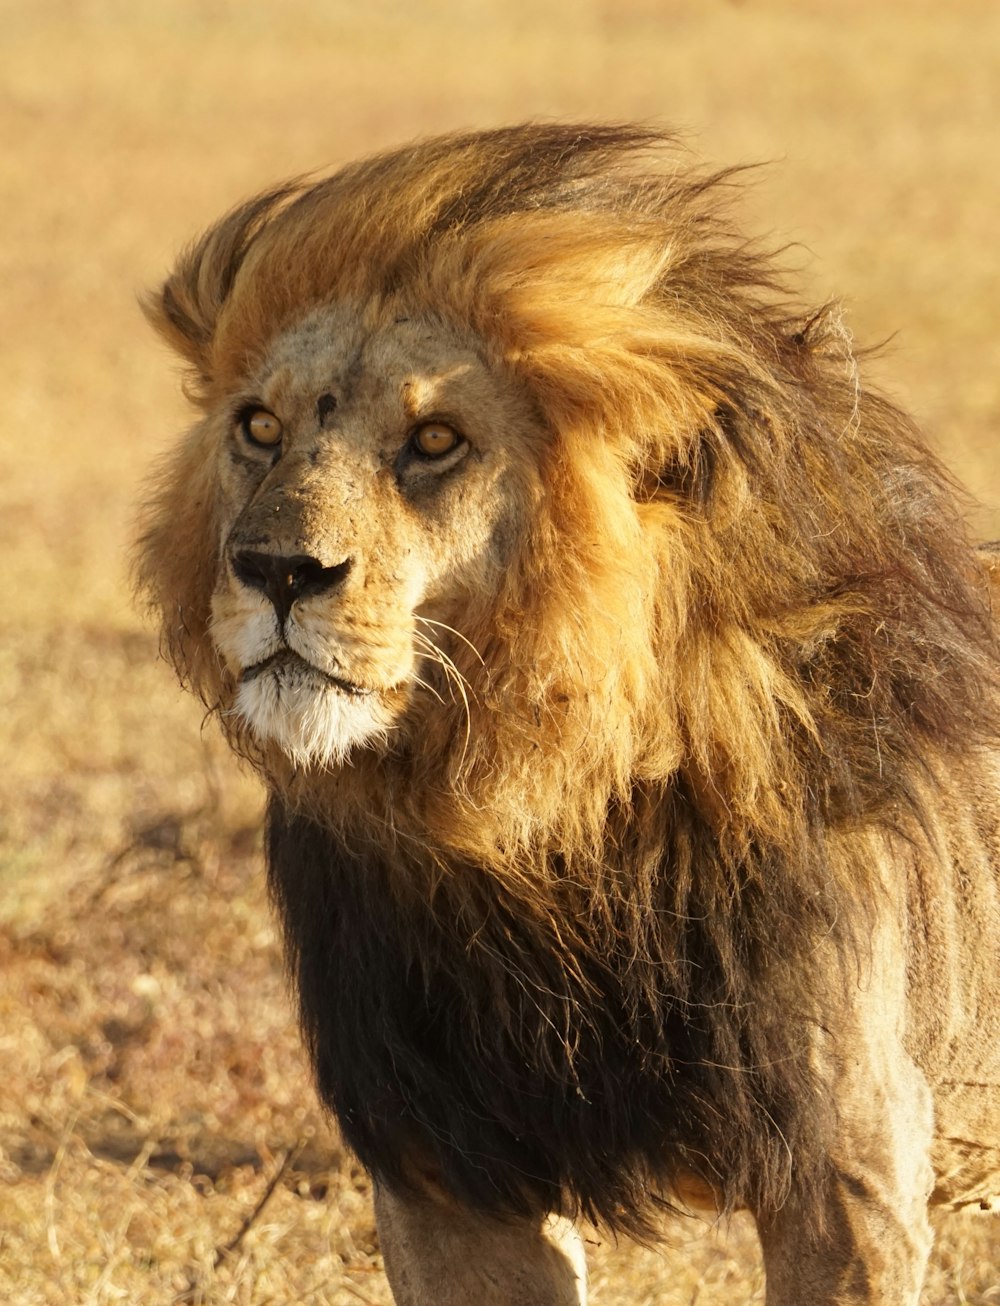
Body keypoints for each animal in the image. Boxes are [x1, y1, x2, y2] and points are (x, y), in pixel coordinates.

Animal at [139, 124, 1000, 1306]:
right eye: (259, 427)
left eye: (437, 440)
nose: (276, 570)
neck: (534, 828)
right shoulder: (442, 1172)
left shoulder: (847, 1174)